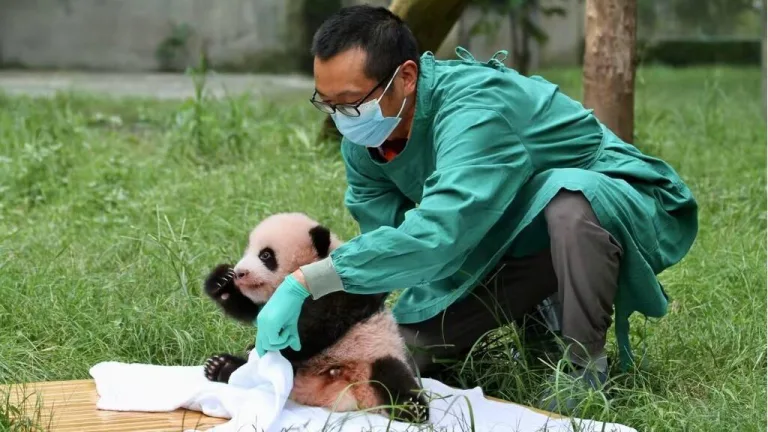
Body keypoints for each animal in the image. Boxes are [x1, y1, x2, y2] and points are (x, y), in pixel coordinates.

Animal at [202, 212, 430, 423]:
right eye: (248, 250)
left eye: (265, 255)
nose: (240, 272)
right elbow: (256, 311)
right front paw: (222, 280)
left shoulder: (343, 291)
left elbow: (319, 328)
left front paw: (262, 345)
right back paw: (221, 366)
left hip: (376, 352)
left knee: (391, 375)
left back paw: (413, 409)